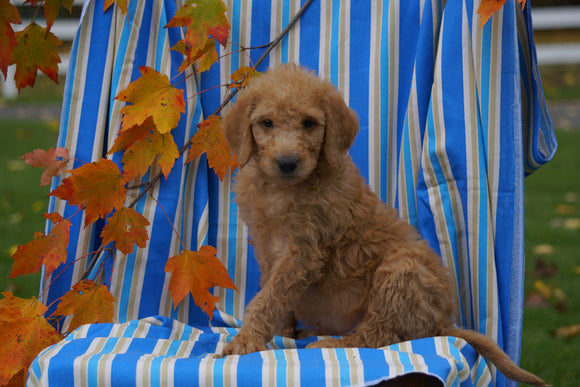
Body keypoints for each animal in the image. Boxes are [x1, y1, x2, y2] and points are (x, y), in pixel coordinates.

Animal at [220, 65, 548, 386]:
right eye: (267, 123)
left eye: (309, 123)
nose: (287, 163)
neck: (282, 189)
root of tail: (444, 321)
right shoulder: (267, 248)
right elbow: (273, 294)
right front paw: (280, 333)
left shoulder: (303, 251)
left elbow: (268, 297)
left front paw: (246, 339)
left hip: (400, 271)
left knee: (379, 335)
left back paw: (332, 342)